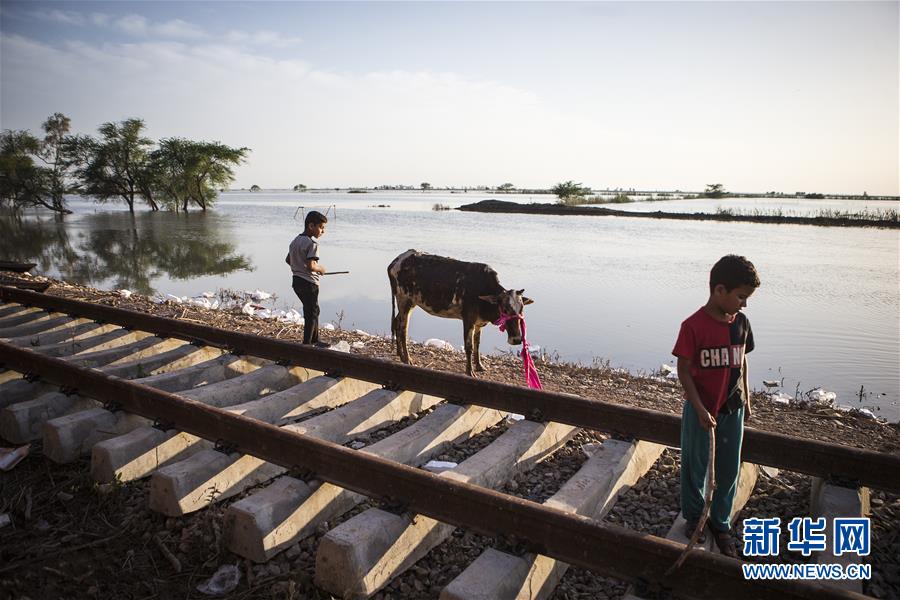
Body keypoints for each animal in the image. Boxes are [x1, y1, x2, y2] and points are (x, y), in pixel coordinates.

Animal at [388, 248, 536, 376]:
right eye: (505, 309)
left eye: (521, 309)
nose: (517, 339)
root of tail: (397, 261)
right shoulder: (468, 319)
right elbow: (469, 346)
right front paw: (470, 371)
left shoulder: (479, 322)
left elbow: (477, 344)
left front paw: (479, 366)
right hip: (404, 301)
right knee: (403, 329)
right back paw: (407, 359)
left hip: (410, 303)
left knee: (396, 323)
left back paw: (400, 354)